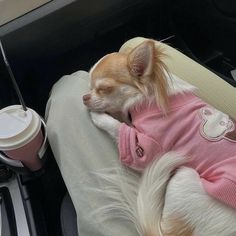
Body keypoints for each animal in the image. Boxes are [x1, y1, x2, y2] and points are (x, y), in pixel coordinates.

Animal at [82, 39, 236, 235]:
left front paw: (99, 116)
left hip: (185, 177)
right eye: (90, 86)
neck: (151, 97)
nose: (84, 97)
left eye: (104, 89)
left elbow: (119, 128)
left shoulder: (147, 149)